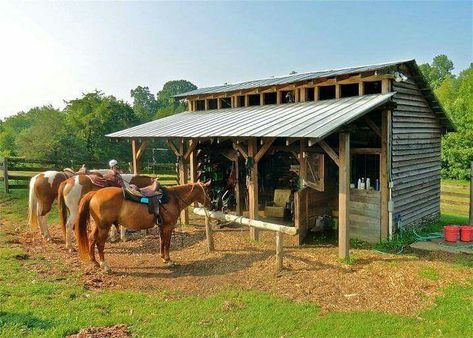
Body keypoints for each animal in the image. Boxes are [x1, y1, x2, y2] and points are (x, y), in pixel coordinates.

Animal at [74, 182, 209, 272]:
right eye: (208, 191)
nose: (211, 204)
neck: (173, 198)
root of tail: (95, 193)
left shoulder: (161, 226)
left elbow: (162, 242)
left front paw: (163, 258)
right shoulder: (168, 226)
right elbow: (167, 243)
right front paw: (169, 261)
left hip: (96, 225)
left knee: (91, 240)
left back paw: (94, 262)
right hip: (104, 227)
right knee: (100, 244)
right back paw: (105, 265)